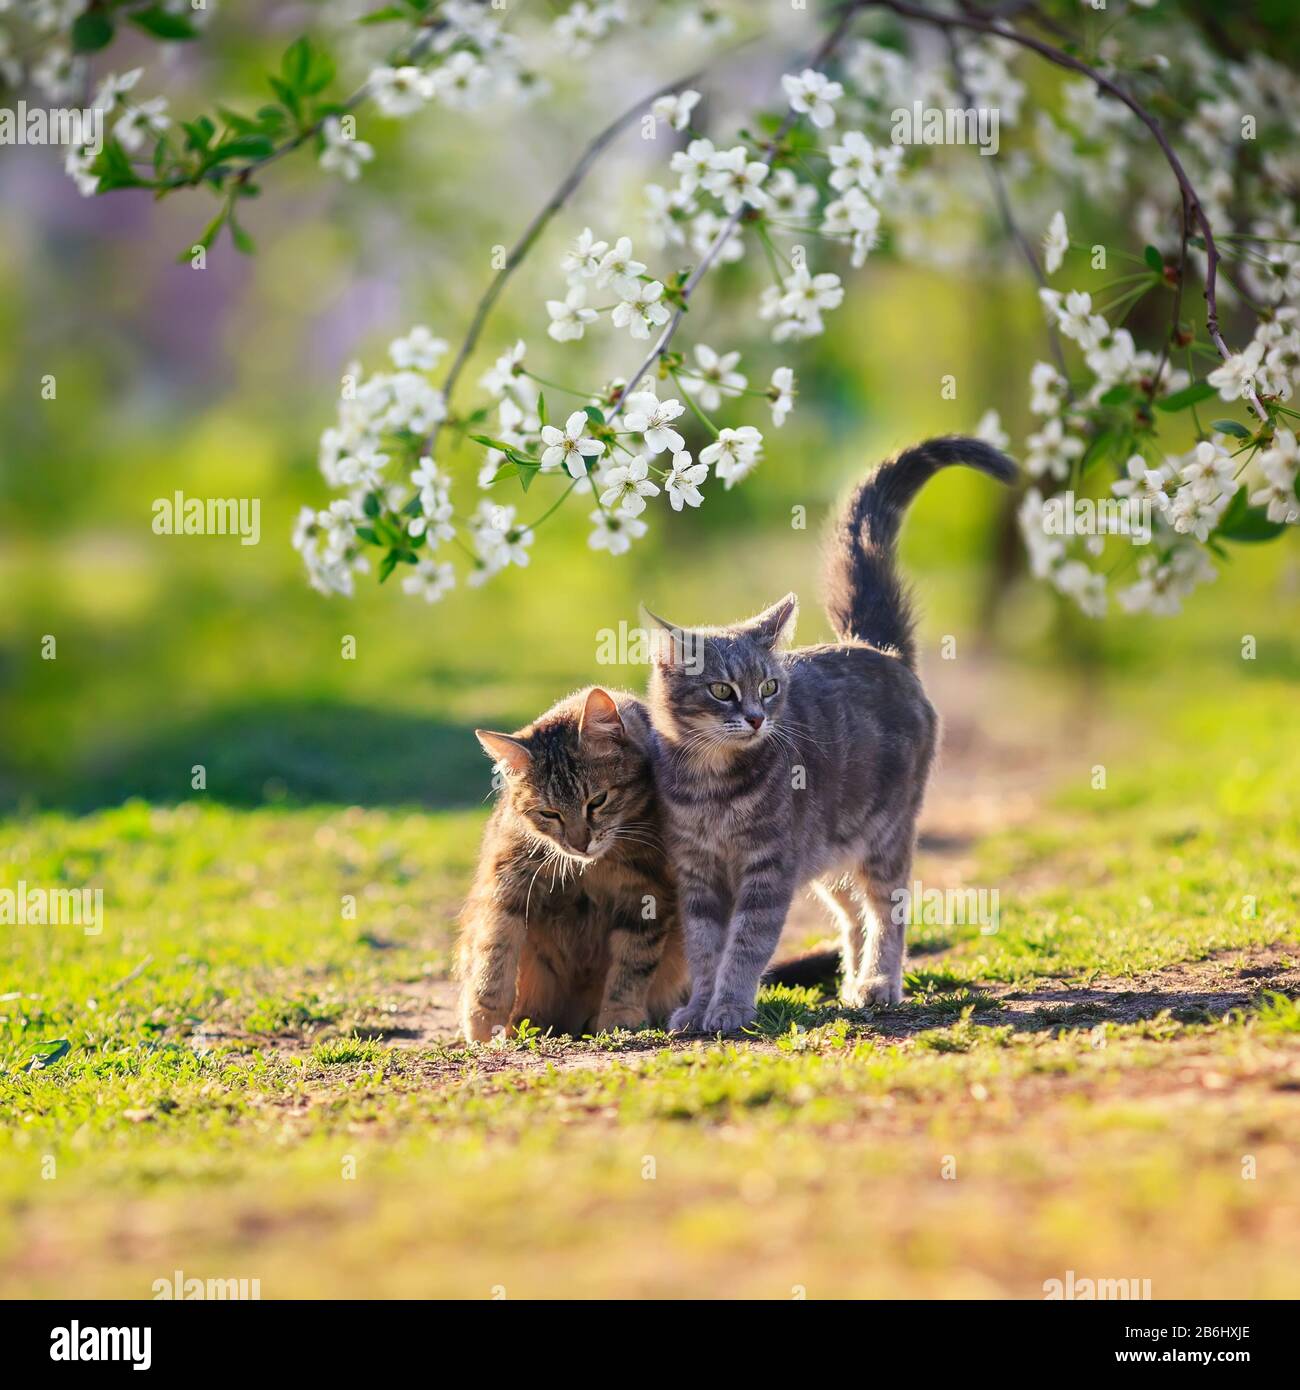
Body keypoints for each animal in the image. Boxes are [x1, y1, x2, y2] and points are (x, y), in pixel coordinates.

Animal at [458, 689, 686, 1039]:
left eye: (597, 801)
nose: (580, 843)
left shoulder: (650, 890)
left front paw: (620, 1013)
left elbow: (633, 961)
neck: (593, 866)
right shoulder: (507, 879)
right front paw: (483, 1017)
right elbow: (494, 949)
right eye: (549, 813)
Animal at [645, 433, 1023, 1034]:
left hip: (885, 838)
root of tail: (874, 646)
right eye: (722, 690)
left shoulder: (768, 870)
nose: (757, 717)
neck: (712, 785)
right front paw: (700, 1005)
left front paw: (730, 1006)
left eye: (770, 686)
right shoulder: (697, 874)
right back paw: (850, 982)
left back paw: (879, 983)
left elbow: (746, 944)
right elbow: (705, 949)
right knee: (853, 917)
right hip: (830, 858)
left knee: (887, 912)